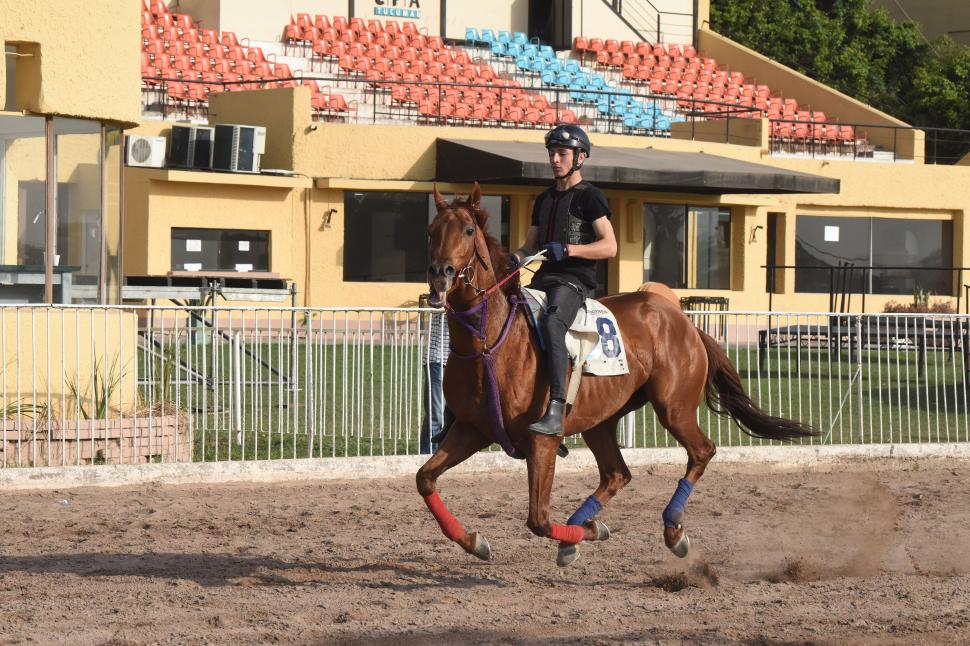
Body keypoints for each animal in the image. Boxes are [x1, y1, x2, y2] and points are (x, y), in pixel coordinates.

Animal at [418, 184, 816, 568]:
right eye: (431, 230)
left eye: (468, 230)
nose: (439, 274)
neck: (490, 344)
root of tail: (682, 319)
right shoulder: (472, 428)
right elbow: (425, 479)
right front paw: (474, 541)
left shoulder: (542, 441)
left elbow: (539, 520)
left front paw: (585, 535)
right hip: (601, 421)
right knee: (617, 473)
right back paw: (582, 528)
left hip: (674, 408)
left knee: (701, 452)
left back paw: (672, 529)